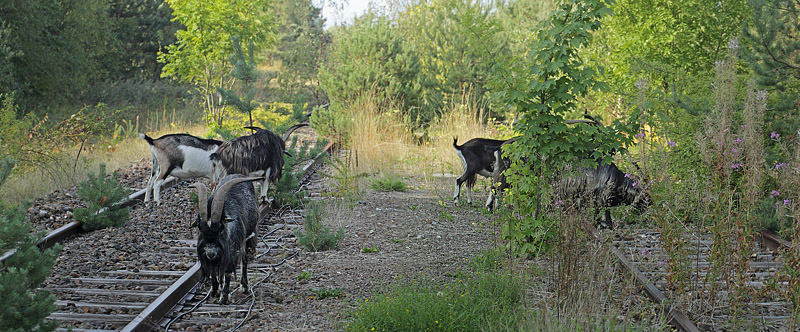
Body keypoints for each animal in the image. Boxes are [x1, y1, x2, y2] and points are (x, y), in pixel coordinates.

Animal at [191, 175, 260, 304]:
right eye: (200, 229)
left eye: (221, 229)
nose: (211, 252)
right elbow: (215, 273)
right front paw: (214, 291)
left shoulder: (231, 251)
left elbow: (227, 272)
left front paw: (223, 297)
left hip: (249, 236)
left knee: (244, 259)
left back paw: (244, 287)